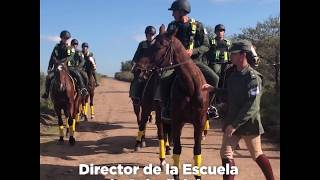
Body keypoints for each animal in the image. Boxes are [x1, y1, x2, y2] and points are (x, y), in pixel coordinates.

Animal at [146, 24, 210, 179]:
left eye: (159, 46)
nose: (137, 63)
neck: (190, 87)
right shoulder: (177, 121)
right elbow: (177, 150)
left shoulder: (199, 122)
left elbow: (197, 150)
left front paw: (198, 175)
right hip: (160, 115)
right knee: (162, 135)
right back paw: (162, 159)